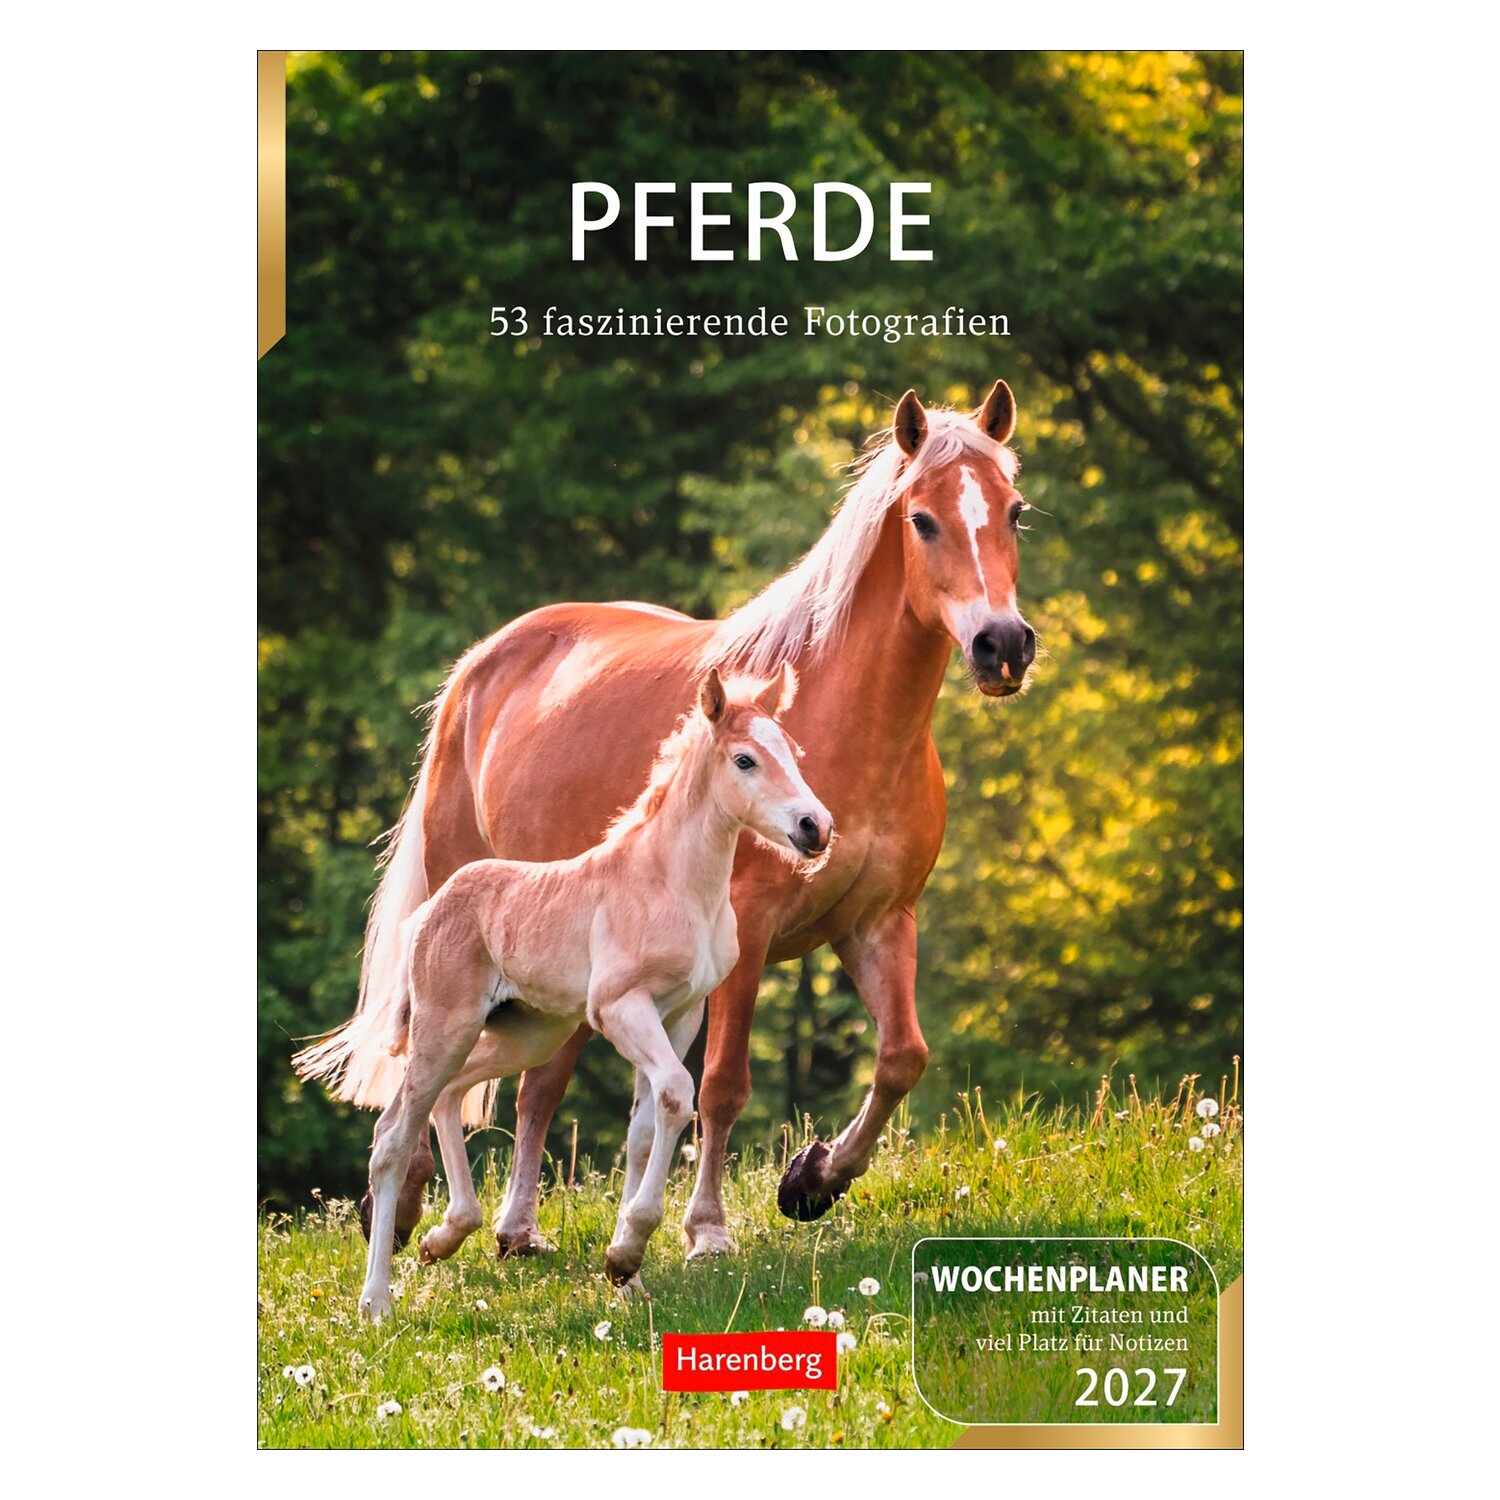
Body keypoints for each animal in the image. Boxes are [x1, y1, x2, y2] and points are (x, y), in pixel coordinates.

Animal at [311, 665, 831, 1318]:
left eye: (793, 751)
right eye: (744, 759)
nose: (816, 828)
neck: (673, 883)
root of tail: (431, 909)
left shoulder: (681, 1014)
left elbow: (646, 1126)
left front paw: (625, 1273)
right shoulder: (620, 1008)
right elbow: (677, 1094)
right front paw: (630, 1248)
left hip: (527, 1033)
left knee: (450, 1095)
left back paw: (446, 1235)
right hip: (446, 1027)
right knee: (392, 1138)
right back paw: (376, 1300)